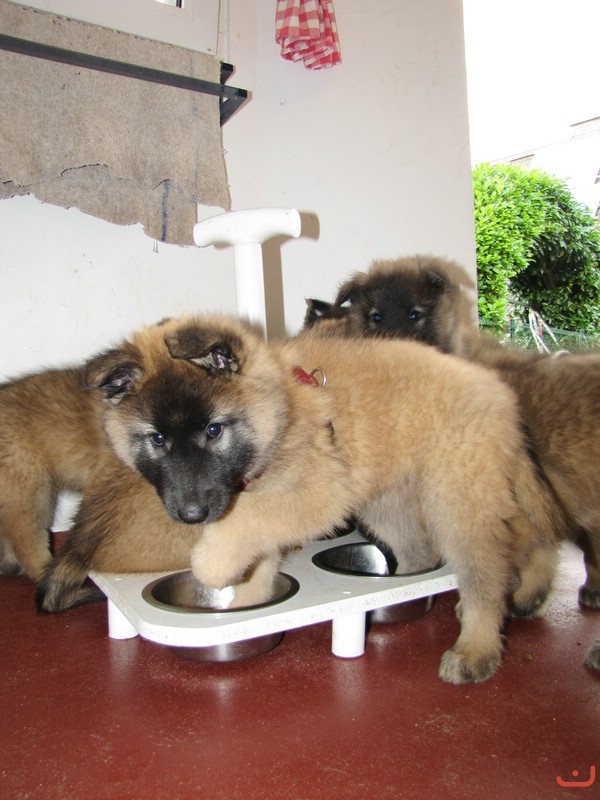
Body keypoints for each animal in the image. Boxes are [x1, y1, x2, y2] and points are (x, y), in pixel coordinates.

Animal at [58, 312, 564, 684]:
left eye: (214, 430)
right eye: (157, 439)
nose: (191, 515)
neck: (284, 409)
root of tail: (498, 392)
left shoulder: (319, 493)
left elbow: (250, 522)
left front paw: (212, 564)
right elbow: (257, 550)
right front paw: (246, 604)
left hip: (458, 496)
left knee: (494, 563)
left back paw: (479, 644)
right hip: (392, 499)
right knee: (449, 547)